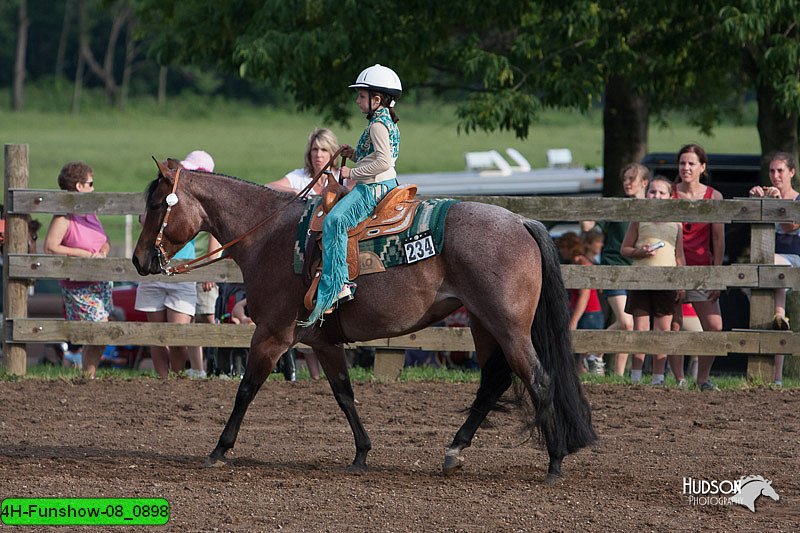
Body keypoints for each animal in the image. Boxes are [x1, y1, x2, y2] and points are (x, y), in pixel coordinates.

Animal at [133, 158, 592, 482]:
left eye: (156, 204)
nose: (139, 260)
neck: (270, 238)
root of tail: (522, 221)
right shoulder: (322, 342)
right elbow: (344, 393)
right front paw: (361, 454)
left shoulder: (271, 336)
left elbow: (246, 390)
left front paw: (219, 449)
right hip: (484, 326)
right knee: (493, 383)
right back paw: (454, 453)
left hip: (510, 328)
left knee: (539, 380)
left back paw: (554, 463)